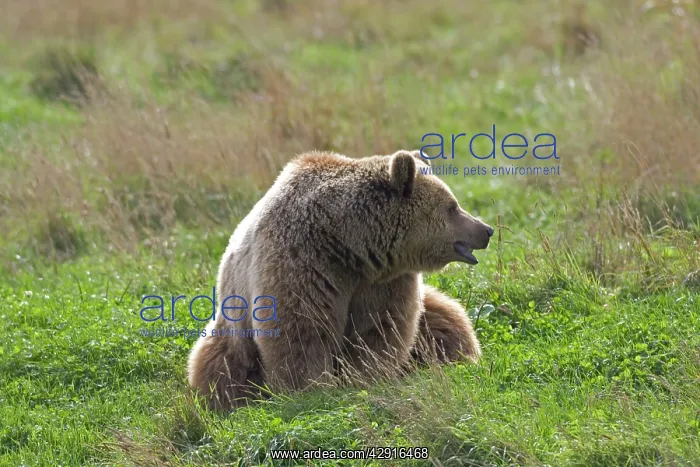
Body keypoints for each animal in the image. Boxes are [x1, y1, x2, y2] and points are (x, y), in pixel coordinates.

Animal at [187, 149, 493, 410]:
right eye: (452, 207)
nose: (486, 229)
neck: (348, 245)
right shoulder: (300, 263)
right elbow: (302, 333)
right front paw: (312, 387)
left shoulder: (385, 281)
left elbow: (378, 330)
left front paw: (363, 376)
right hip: (233, 329)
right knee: (220, 367)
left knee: (448, 321)